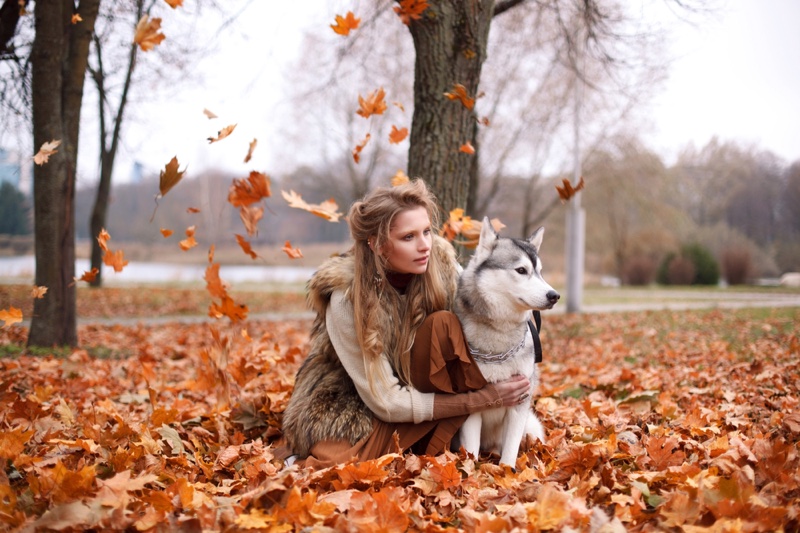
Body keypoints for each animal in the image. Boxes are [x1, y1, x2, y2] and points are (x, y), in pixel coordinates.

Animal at [454, 216, 560, 466]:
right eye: (521, 270)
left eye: (540, 272)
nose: (554, 296)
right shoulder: (472, 406)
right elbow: (471, 450)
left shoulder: (519, 403)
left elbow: (510, 450)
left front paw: (508, 471)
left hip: (531, 427)